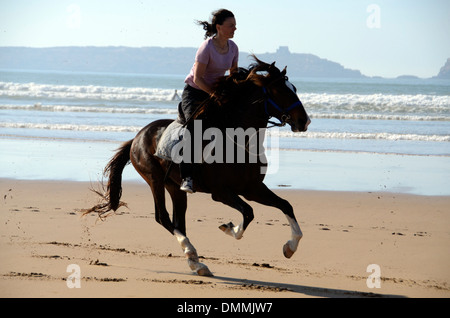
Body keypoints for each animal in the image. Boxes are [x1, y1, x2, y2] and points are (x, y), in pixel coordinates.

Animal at [84, 57, 310, 276]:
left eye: (294, 88)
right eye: (280, 91)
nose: (304, 121)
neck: (240, 141)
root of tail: (137, 137)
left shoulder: (252, 188)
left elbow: (285, 205)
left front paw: (290, 247)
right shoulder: (221, 192)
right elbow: (248, 212)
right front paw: (229, 228)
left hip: (174, 187)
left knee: (178, 222)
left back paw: (196, 263)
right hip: (154, 179)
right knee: (163, 218)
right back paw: (193, 256)